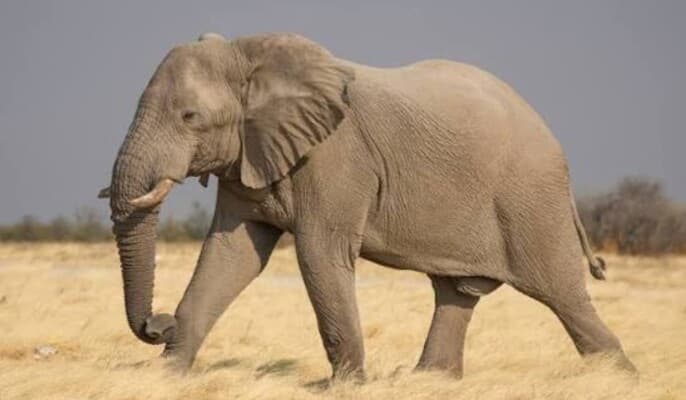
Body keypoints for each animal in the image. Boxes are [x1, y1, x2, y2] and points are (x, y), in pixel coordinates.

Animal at [99, 32, 635, 379]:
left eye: (190, 117)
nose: (157, 323)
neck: (251, 53)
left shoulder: (335, 157)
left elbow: (318, 254)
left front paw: (346, 386)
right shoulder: (250, 153)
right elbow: (231, 255)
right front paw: (167, 377)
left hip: (530, 198)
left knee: (563, 295)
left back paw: (619, 378)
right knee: (457, 292)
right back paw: (428, 381)